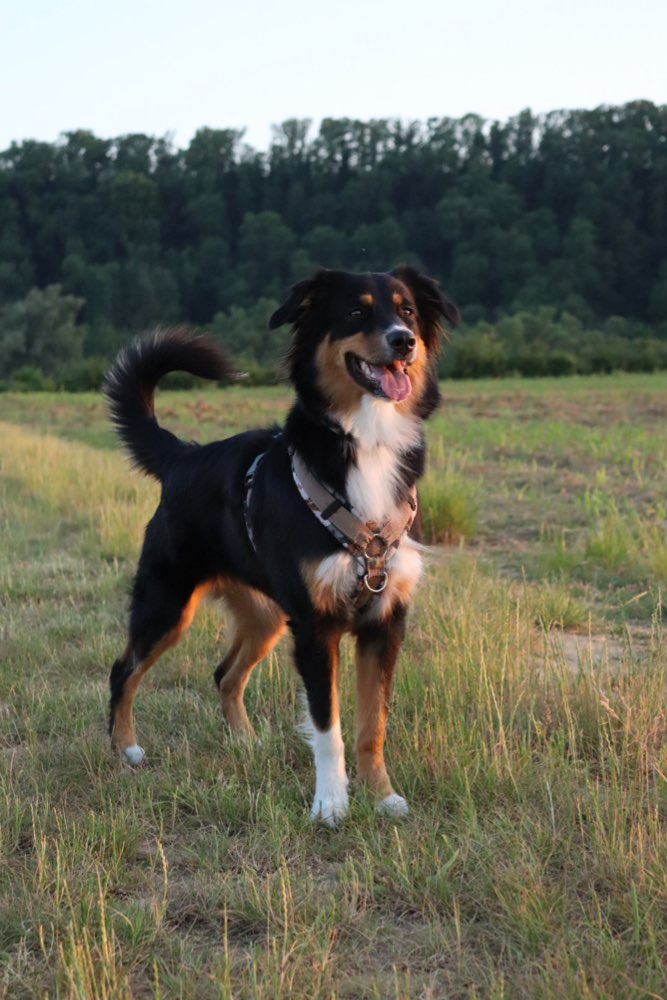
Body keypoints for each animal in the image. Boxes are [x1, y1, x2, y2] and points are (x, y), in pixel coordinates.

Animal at [104, 264, 460, 820]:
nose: (403, 341)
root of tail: (184, 456)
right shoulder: (317, 627)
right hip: (167, 604)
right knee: (123, 672)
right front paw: (331, 804)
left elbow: (372, 723)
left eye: (407, 310)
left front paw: (382, 795)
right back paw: (126, 749)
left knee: (224, 674)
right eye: (355, 311)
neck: (366, 441)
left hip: (266, 616)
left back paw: (244, 742)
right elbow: (328, 726)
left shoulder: (385, 621)